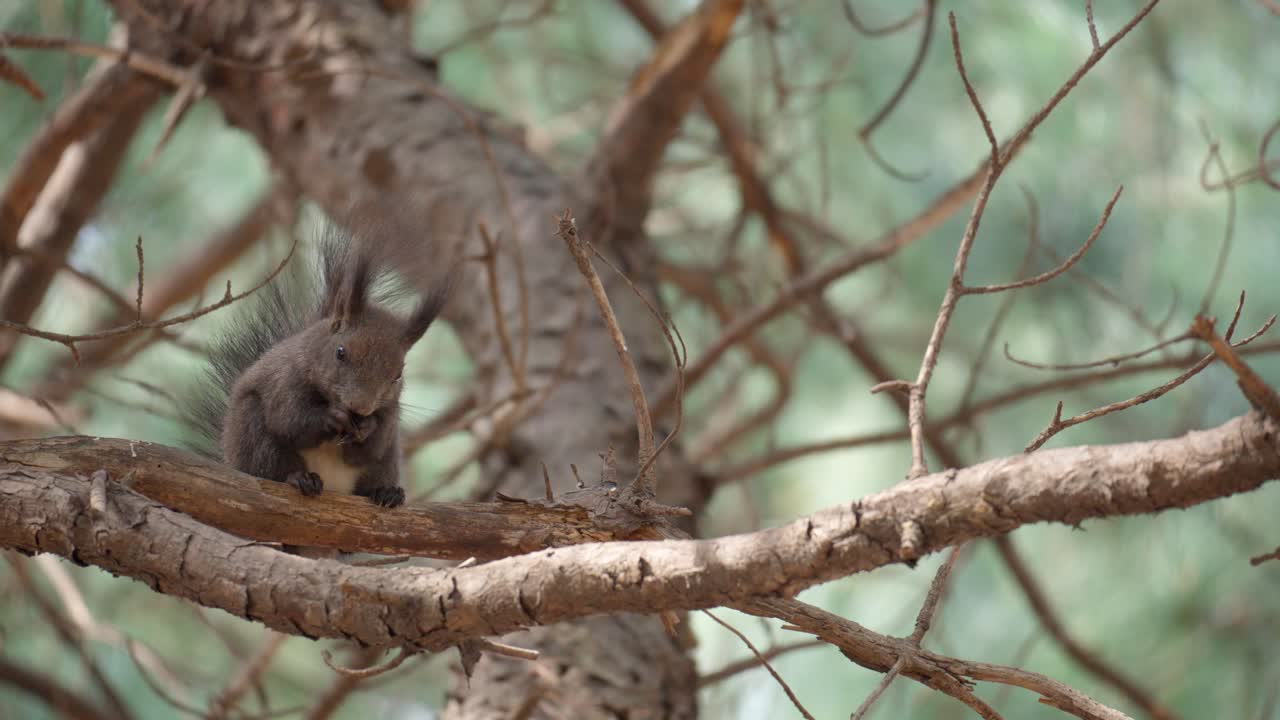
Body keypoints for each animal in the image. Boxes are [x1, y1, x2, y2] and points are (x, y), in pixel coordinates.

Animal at [188, 222, 449, 509]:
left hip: (387, 460)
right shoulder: (285, 382)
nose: (361, 407)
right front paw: (332, 417)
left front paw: (367, 427)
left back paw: (387, 492)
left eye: (398, 374)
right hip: (253, 433)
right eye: (340, 353)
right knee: (270, 466)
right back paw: (299, 478)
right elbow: (289, 420)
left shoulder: (390, 413)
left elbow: (373, 445)